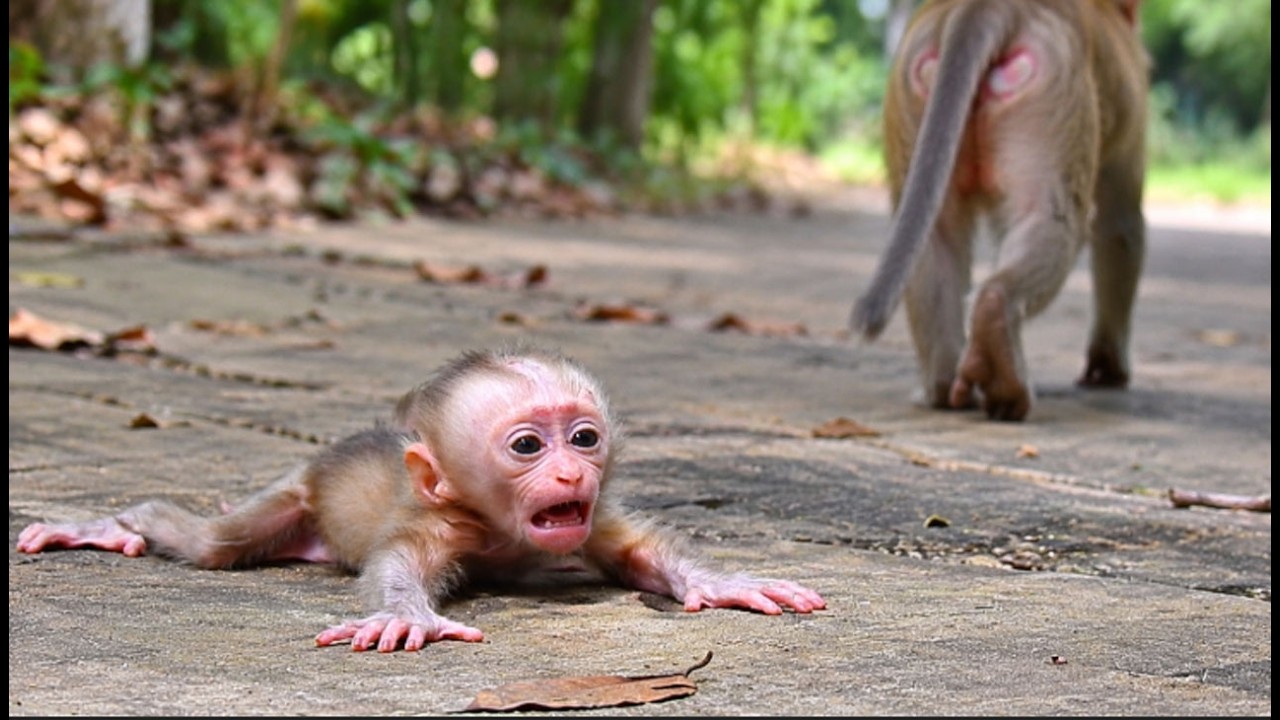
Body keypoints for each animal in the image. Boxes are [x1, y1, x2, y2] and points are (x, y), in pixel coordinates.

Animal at [16, 346, 826, 652]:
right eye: (528, 447)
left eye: (584, 437)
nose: (572, 476)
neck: (499, 528)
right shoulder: (437, 520)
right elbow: (399, 568)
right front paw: (405, 616)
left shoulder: (588, 524)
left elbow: (640, 553)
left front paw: (726, 583)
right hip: (293, 492)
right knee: (214, 544)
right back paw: (107, 527)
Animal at [850, 0, 1148, 421]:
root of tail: (983, 5)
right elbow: (1119, 226)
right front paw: (1109, 367)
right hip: (1053, 90)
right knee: (1051, 219)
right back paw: (1001, 359)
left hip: (910, 91)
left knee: (934, 236)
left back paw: (943, 386)